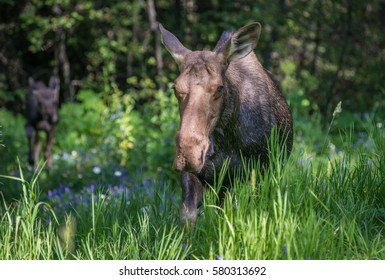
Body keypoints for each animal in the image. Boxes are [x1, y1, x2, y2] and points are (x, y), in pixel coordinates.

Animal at [158, 21, 292, 228]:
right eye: (175, 87)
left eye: (220, 87)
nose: (188, 154)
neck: (227, 137)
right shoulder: (200, 175)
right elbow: (187, 217)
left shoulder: (260, 171)